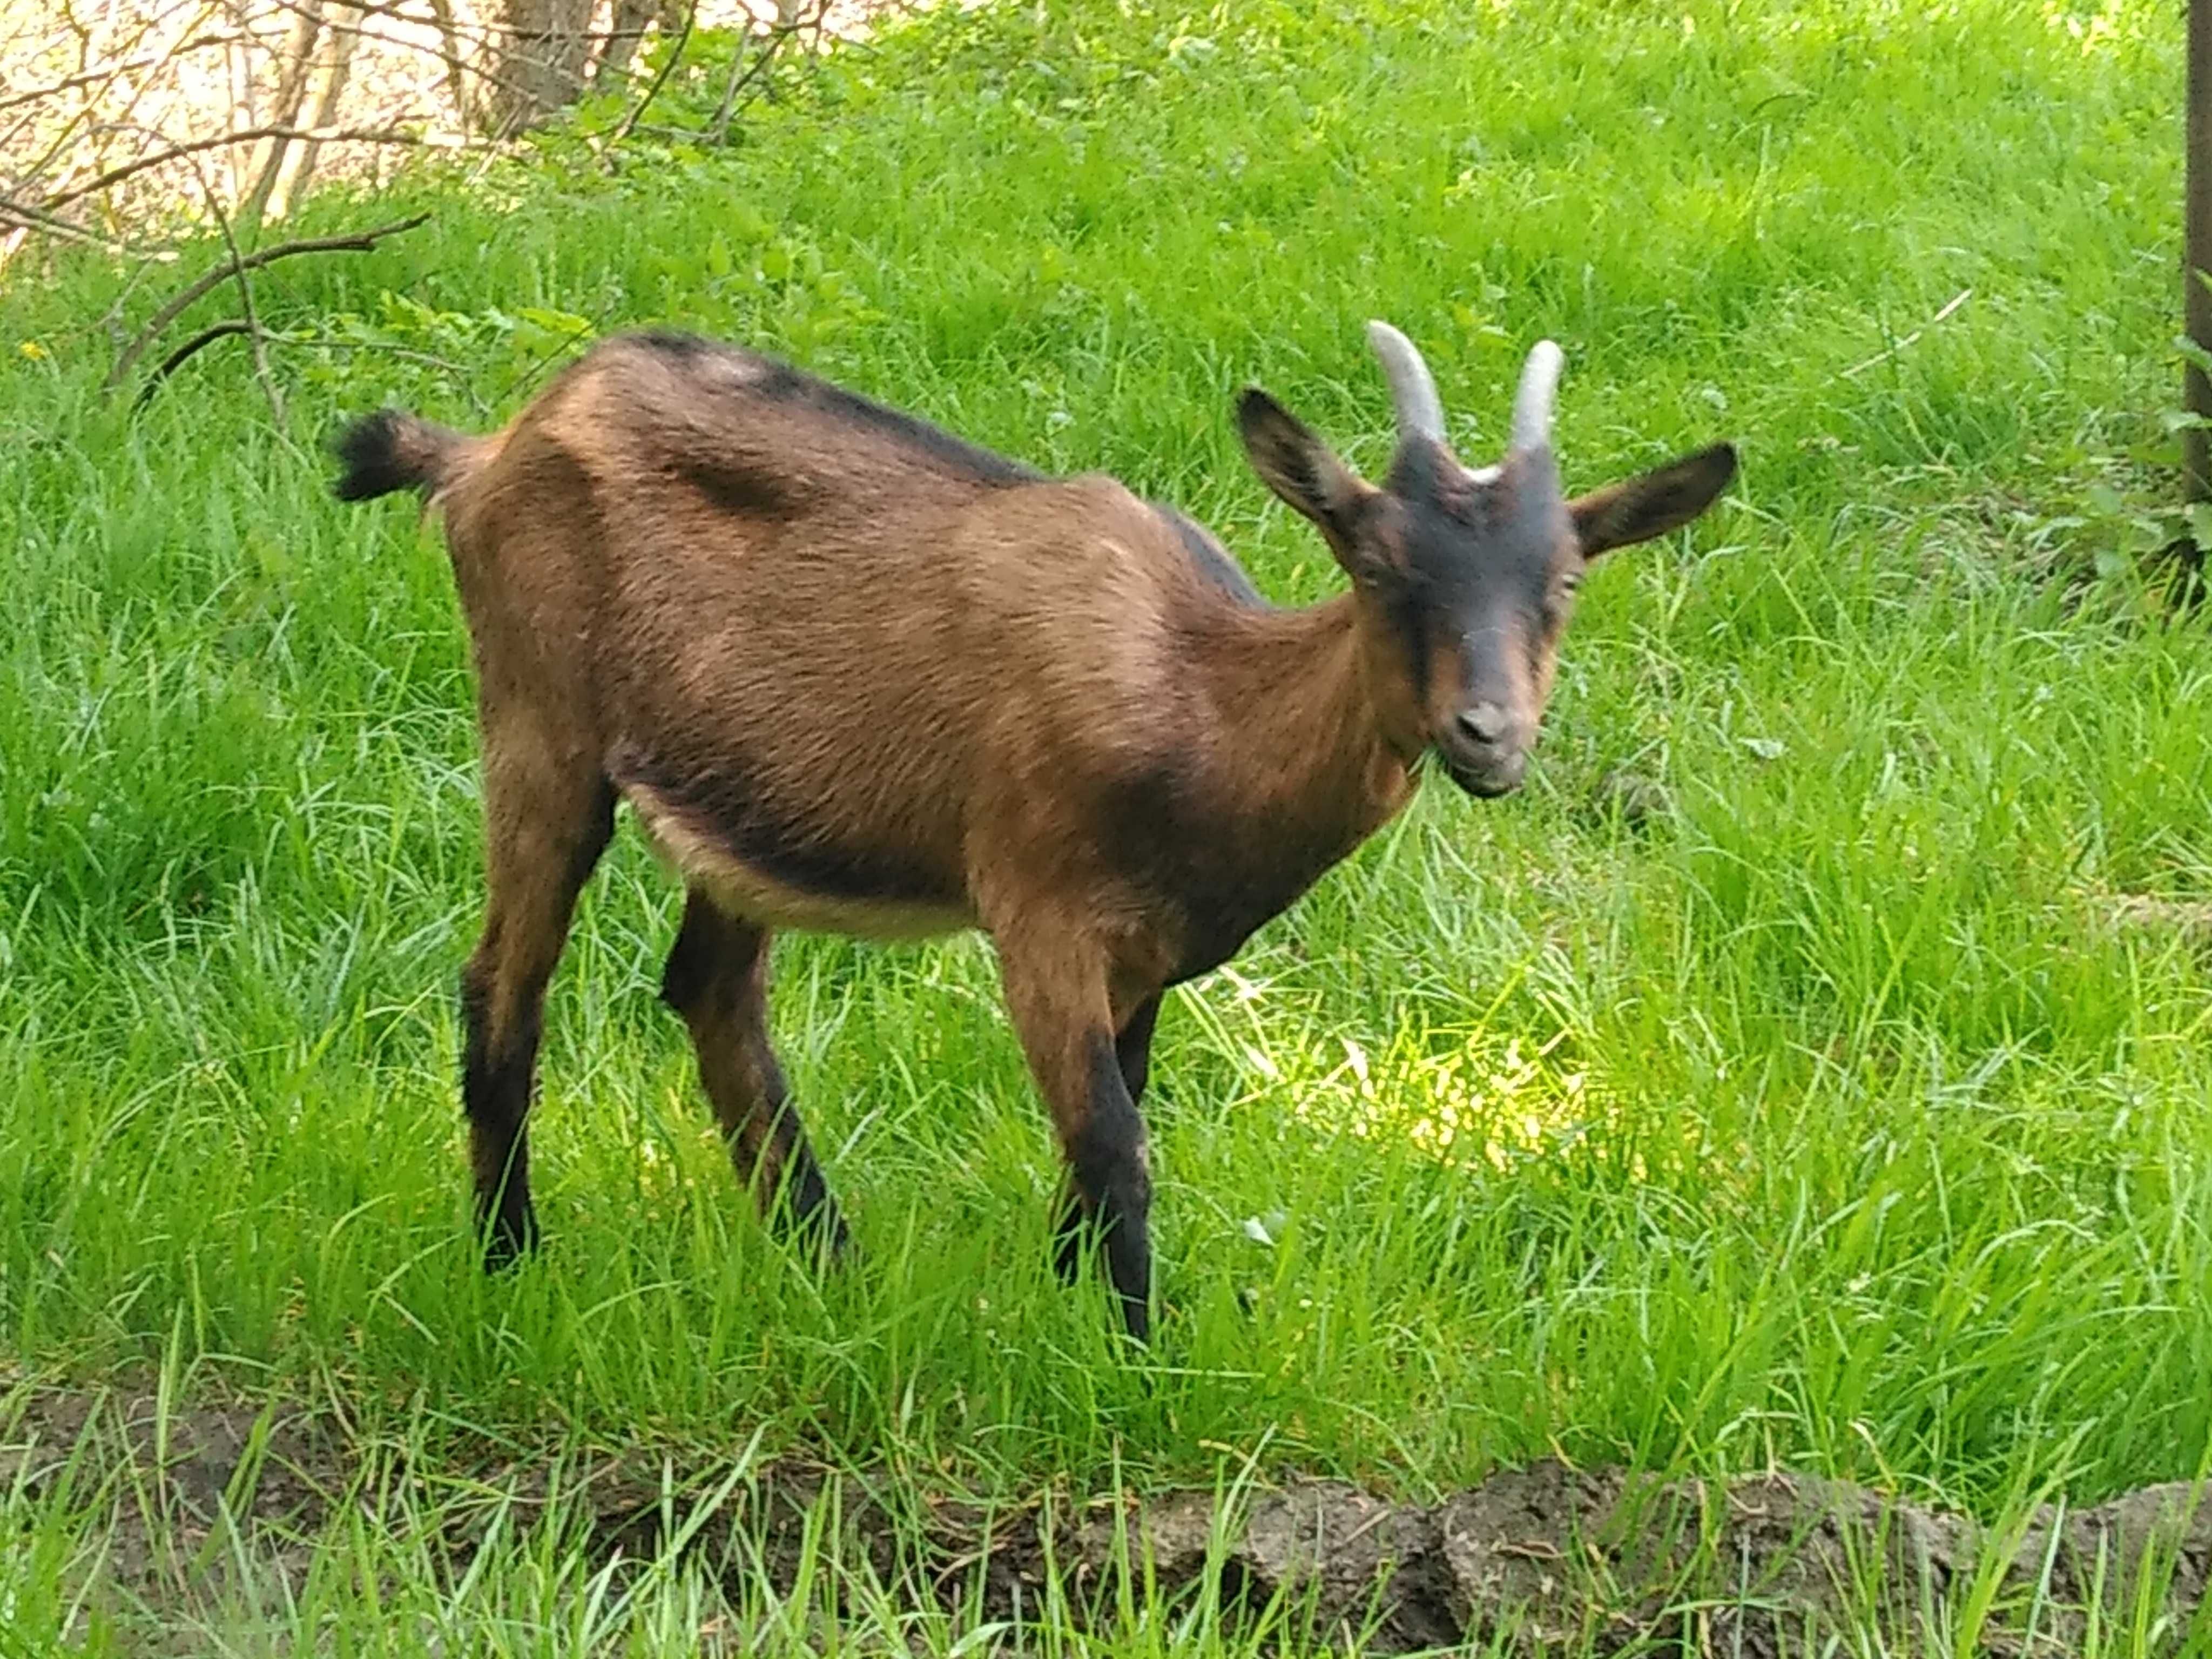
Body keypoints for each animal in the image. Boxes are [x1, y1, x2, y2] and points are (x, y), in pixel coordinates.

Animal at [336, 320, 1734, 1336]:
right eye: (1378, 565)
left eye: (1563, 577)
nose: (1486, 732)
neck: (1199, 696)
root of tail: (486, 450)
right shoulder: (1037, 912)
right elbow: (1114, 1144)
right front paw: (1137, 1357)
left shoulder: (1146, 957)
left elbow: (1107, 1123)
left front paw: (1071, 1315)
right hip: (540, 727)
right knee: (503, 983)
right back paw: (511, 1259)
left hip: (737, 805)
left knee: (711, 993)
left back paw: (829, 1266)